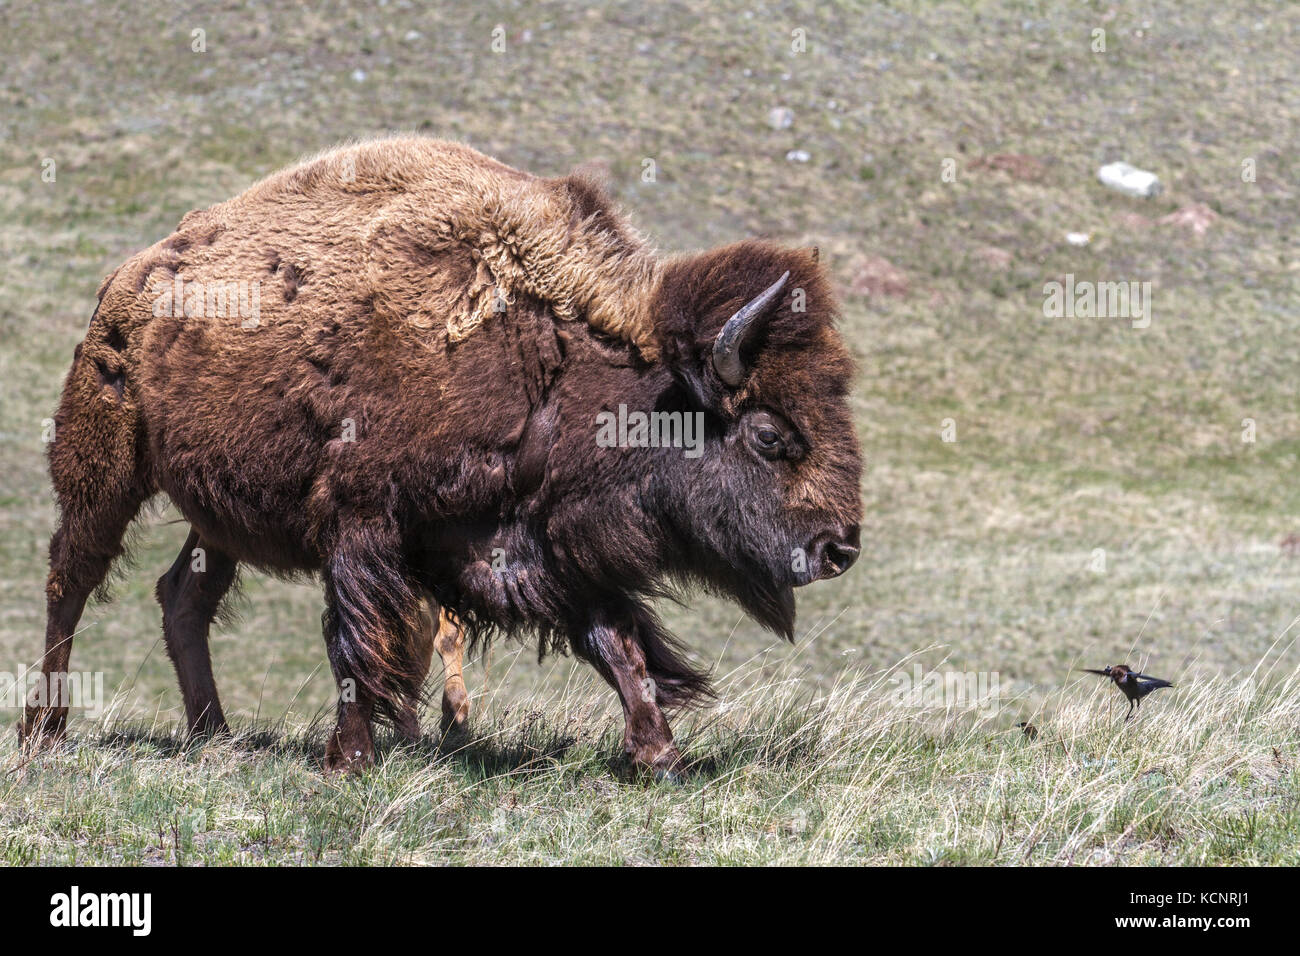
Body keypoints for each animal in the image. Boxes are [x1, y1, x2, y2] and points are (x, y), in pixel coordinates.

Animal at [21, 138, 862, 777]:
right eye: (769, 435)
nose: (839, 549)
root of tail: (127, 279)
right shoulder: (363, 525)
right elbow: (358, 642)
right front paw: (350, 762)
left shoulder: (530, 540)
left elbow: (617, 642)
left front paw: (662, 760)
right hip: (104, 467)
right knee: (71, 579)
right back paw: (45, 732)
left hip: (217, 513)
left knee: (183, 597)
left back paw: (213, 735)